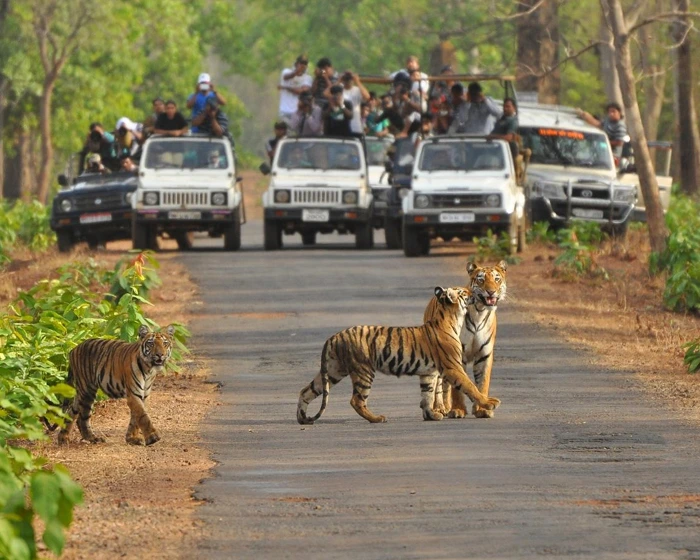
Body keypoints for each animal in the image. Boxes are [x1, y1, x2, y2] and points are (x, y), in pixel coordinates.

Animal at [296, 288, 504, 424]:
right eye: (463, 292)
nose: (474, 292)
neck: (451, 318)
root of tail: (334, 336)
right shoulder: (453, 367)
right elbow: (470, 386)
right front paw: (489, 403)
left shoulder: (428, 373)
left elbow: (427, 395)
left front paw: (431, 415)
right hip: (363, 370)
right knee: (356, 400)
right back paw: (377, 418)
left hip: (333, 370)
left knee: (306, 391)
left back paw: (302, 418)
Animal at [424, 260, 506, 418]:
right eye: (481, 280)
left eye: (497, 279)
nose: (491, 291)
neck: (480, 311)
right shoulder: (457, 354)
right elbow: (458, 387)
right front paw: (458, 409)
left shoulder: (484, 354)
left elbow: (482, 383)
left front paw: (482, 409)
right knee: (438, 384)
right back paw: (439, 408)